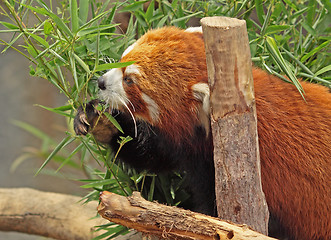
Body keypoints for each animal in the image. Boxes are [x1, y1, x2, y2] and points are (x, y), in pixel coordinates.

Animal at [74, 26, 330, 240]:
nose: (101, 81)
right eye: (123, 59)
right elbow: (154, 155)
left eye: (129, 81)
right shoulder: (189, 145)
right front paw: (99, 120)